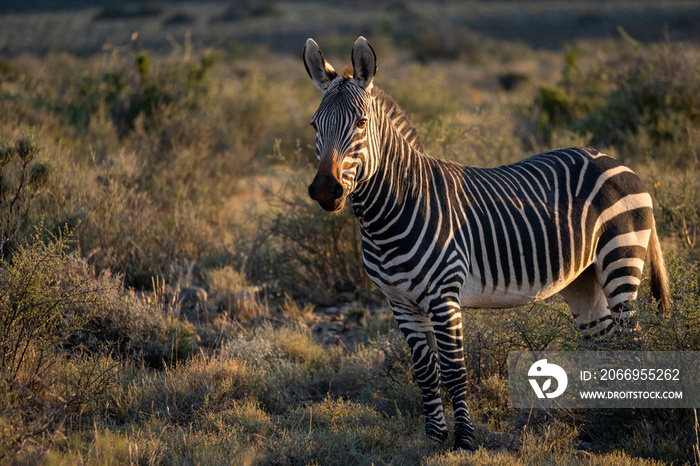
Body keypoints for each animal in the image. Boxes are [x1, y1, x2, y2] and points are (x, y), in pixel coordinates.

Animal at [302, 36, 672, 452]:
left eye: (361, 123)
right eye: (315, 125)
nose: (325, 189)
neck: (390, 213)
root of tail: (616, 160)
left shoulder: (444, 295)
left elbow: (454, 371)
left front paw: (463, 439)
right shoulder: (400, 302)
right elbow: (425, 372)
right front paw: (435, 437)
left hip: (620, 259)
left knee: (631, 342)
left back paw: (635, 422)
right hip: (584, 278)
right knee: (603, 343)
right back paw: (602, 422)